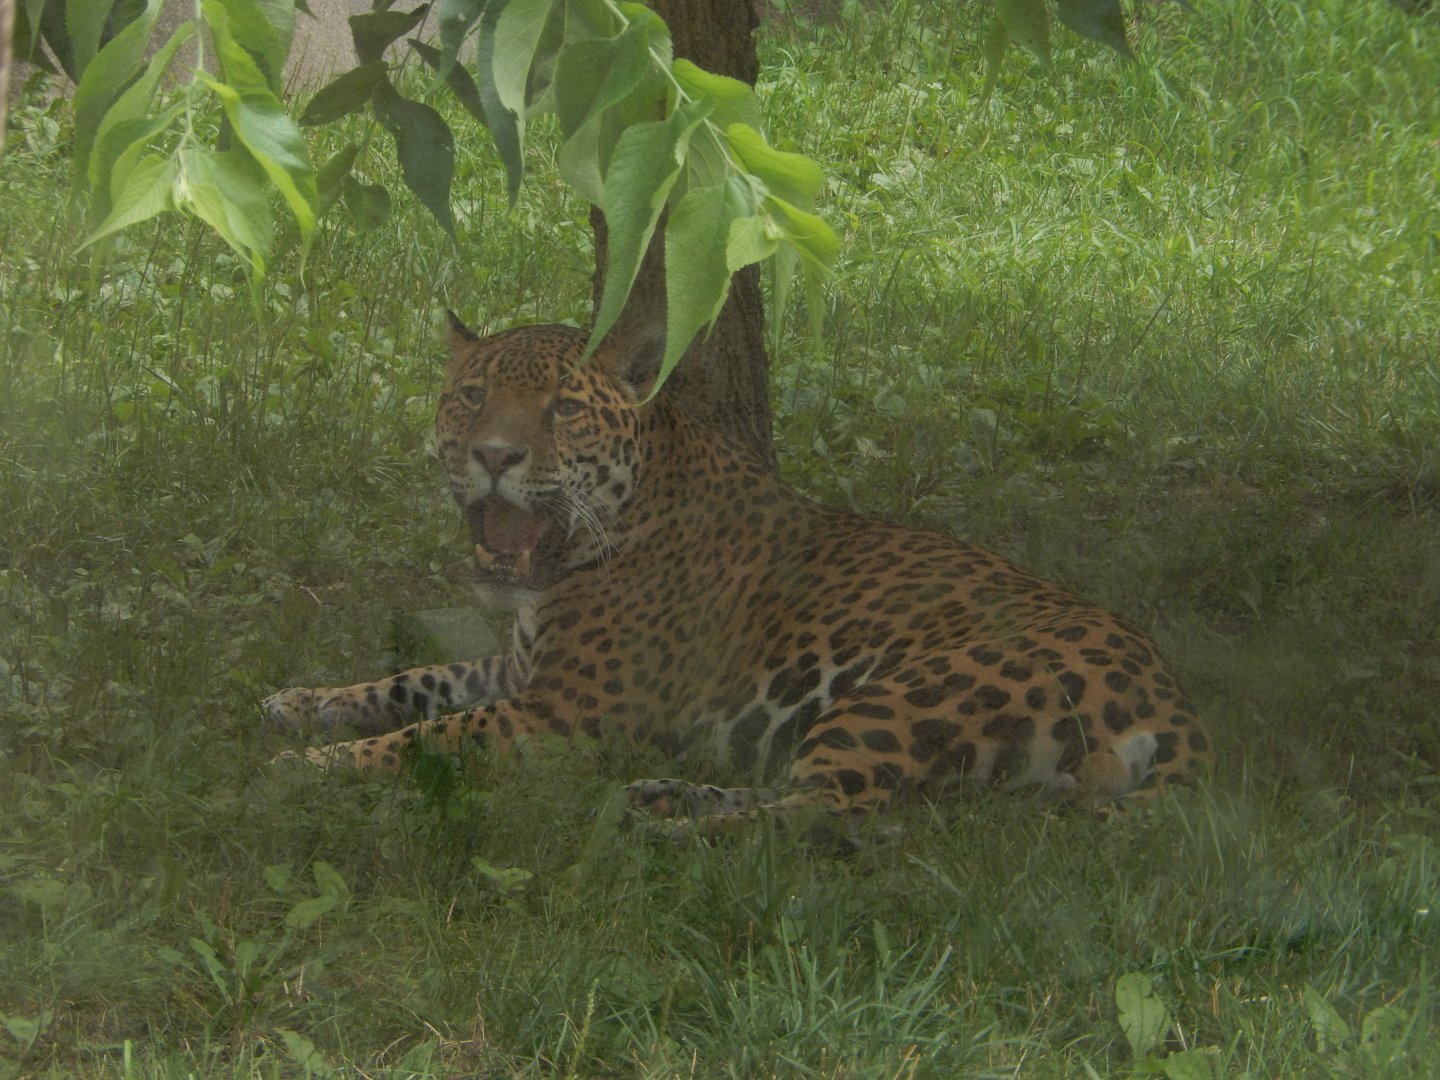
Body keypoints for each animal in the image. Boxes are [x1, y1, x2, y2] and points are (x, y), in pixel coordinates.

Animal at [265, 315, 1212, 825]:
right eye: (472, 396)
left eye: (563, 408)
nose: (494, 455)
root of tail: (1171, 693)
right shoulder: (525, 669)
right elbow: (422, 679)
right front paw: (306, 703)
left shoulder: (566, 713)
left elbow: (433, 735)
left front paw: (311, 767)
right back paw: (664, 796)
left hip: (909, 696)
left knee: (836, 817)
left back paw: (669, 826)